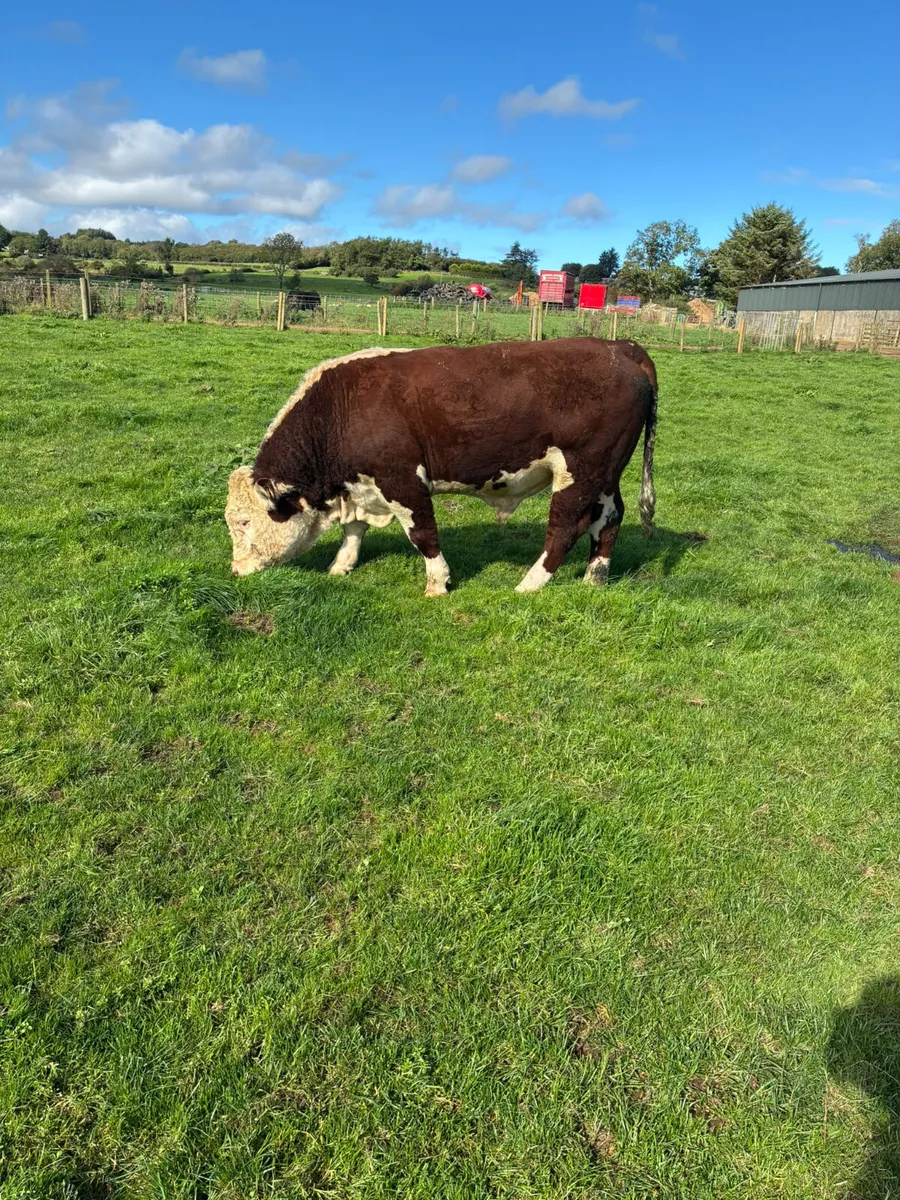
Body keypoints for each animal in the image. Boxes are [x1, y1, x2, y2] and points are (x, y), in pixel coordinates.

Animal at [225, 338, 657, 595]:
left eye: (244, 522)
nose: (235, 570)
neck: (340, 408)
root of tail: (620, 346)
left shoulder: (401, 480)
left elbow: (423, 534)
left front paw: (438, 583)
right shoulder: (360, 487)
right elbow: (354, 531)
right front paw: (341, 566)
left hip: (579, 470)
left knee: (566, 526)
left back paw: (529, 584)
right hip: (606, 473)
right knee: (608, 519)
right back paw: (594, 577)